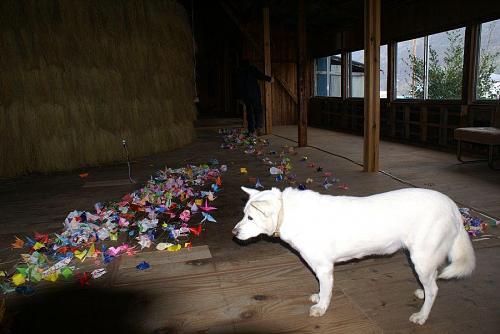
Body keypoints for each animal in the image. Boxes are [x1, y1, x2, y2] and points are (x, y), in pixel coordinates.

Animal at [232, 187, 474, 324]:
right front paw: (318, 298)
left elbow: (326, 290)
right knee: (432, 282)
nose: (233, 233)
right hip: (424, 258)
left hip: (421, 258)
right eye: (244, 214)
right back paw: (422, 293)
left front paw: (321, 307)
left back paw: (422, 316)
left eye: (251, 218)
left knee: (434, 289)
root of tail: (452, 206)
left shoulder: (324, 268)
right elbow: (322, 290)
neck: (287, 212)